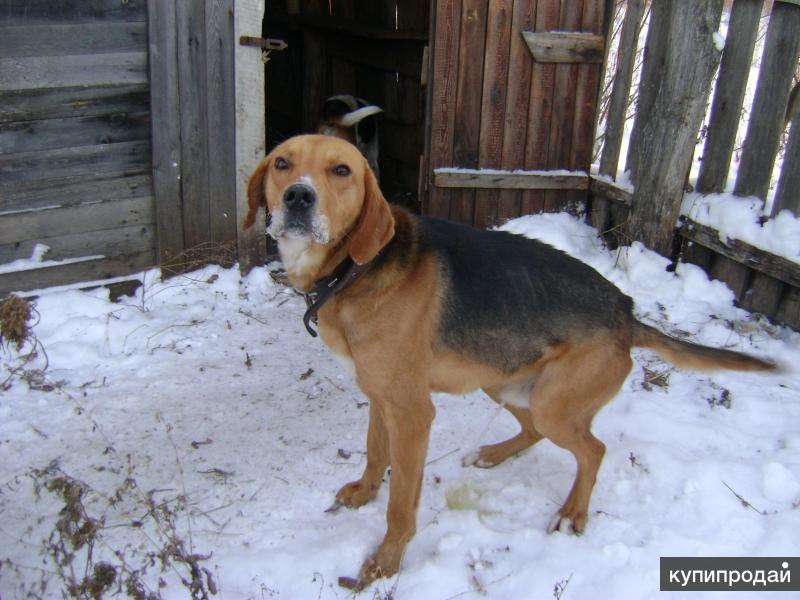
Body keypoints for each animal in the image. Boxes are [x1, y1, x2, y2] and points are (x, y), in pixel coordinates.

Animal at [242, 134, 776, 588]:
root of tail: (627, 314)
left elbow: (401, 505)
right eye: (282, 162)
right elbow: (375, 455)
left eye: (342, 170)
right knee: (536, 431)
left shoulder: (413, 414)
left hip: (554, 403)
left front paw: (386, 563)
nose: (298, 197)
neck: (355, 269)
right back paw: (494, 454)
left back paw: (573, 513)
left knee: (593, 449)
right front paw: (362, 494)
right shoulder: (379, 396)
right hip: (503, 382)